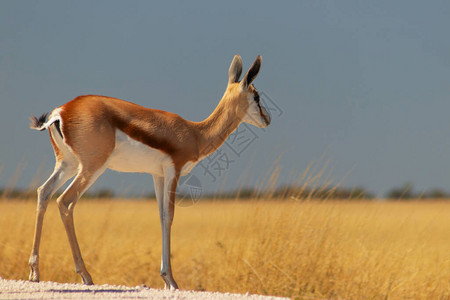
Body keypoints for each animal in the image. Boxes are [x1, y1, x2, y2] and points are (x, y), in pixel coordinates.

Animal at [28, 55, 270, 290]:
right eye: (257, 96)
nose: (267, 119)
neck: (195, 134)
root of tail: (62, 111)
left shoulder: (158, 175)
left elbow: (161, 216)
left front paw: (165, 279)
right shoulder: (174, 171)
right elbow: (170, 216)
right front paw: (171, 280)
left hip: (67, 164)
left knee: (44, 192)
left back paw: (35, 272)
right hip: (91, 168)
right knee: (65, 201)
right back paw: (85, 275)